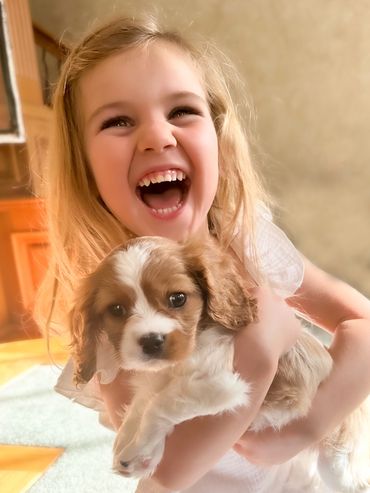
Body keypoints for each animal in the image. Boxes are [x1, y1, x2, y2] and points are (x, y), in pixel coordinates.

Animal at [70, 236, 370, 490]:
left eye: (177, 298)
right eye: (117, 310)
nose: (152, 341)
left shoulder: (225, 384)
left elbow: (160, 404)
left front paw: (140, 447)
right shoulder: (155, 379)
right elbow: (140, 403)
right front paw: (133, 447)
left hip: (337, 460)